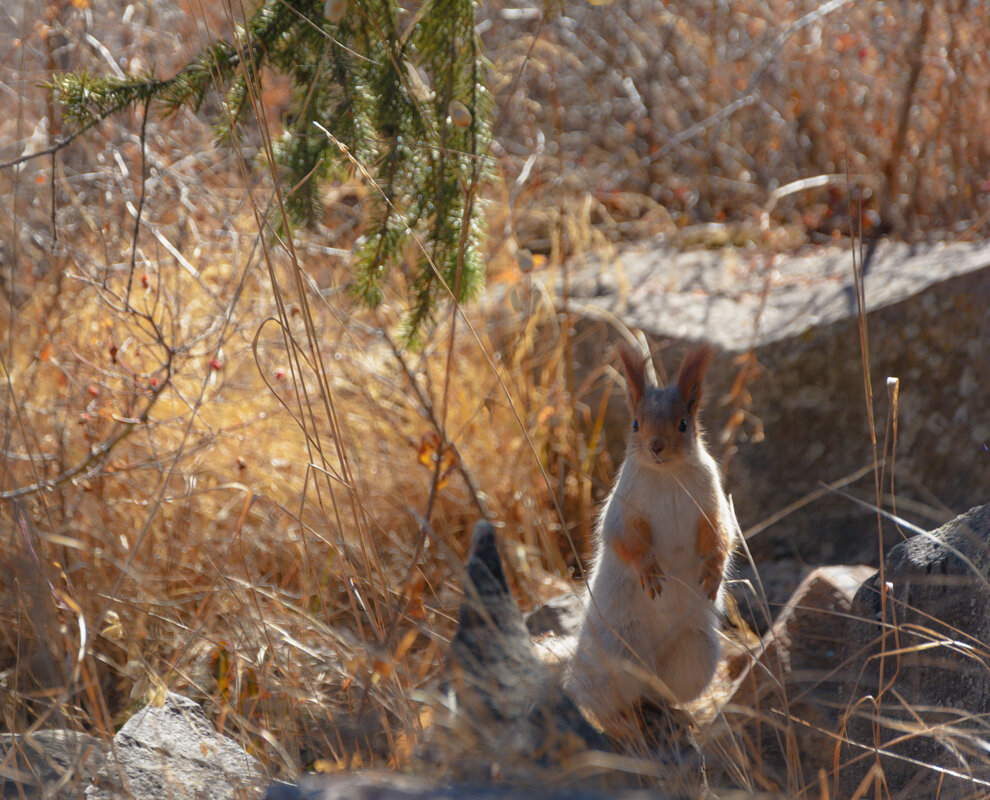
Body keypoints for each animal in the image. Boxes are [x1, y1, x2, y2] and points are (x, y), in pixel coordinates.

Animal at [568, 340, 740, 720]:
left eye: (683, 424)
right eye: (635, 424)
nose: (656, 446)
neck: (667, 474)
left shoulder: (711, 502)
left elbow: (719, 535)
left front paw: (714, 571)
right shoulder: (625, 508)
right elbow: (626, 539)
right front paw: (648, 571)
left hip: (696, 654)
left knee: (662, 691)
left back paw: (671, 710)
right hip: (618, 653)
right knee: (604, 702)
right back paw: (622, 718)